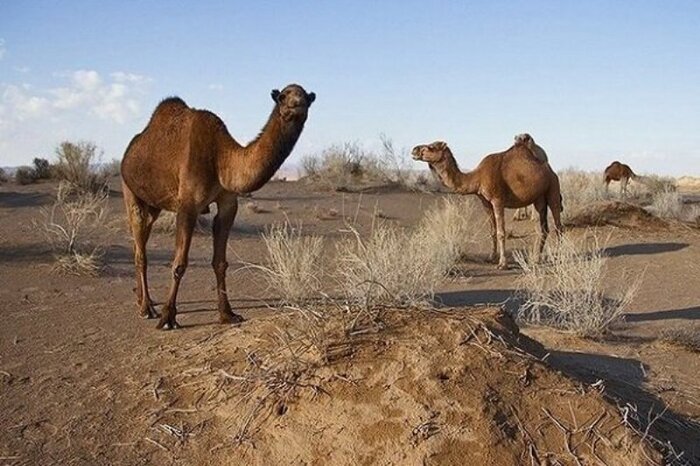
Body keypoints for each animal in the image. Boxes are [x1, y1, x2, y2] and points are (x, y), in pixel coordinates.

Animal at [121, 84, 316, 332]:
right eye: (282, 97)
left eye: (306, 98)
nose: (296, 105)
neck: (220, 157)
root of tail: (129, 151)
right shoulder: (187, 205)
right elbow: (179, 264)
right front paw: (168, 318)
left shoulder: (228, 203)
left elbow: (220, 262)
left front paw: (228, 314)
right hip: (130, 191)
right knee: (140, 250)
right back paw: (147, 308)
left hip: (154, 204)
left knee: (142, 240)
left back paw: (144, 301)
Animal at [410, 140, 564, 268]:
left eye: (431, 147)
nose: (414, 150)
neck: (477, 177)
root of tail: (551, 171)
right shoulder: (485, 202)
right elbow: (492, 231)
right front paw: (491, 257)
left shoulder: (497, 200)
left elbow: (501, 232)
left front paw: (502, 264)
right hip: (539, 199)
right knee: (543, 228)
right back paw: (536, 259)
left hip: (553, 188)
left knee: (558, 226)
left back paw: (558, 258)